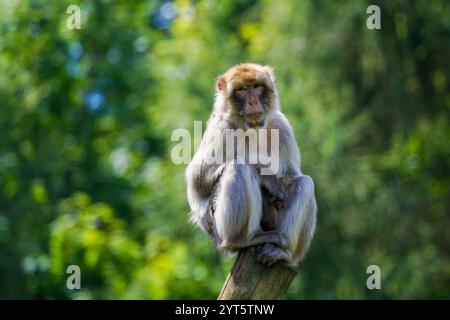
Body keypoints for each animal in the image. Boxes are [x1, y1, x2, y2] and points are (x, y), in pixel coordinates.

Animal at [185, 62, 314, 264]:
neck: (251, 128)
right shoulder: (222, 128)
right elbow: (197, 182)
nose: (253, 102)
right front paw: (267, 178)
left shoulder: (281, 125)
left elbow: (291, 175)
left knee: (304, 183)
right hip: (219, 229)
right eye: (242, 90)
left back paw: (282, 252)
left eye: (256, 86)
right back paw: (244, 239)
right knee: (239, 167)